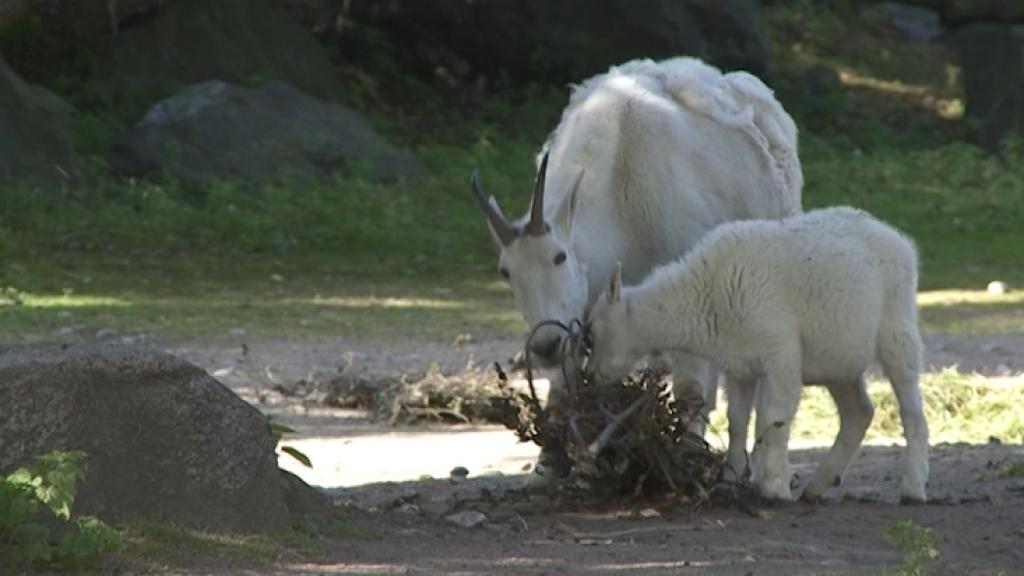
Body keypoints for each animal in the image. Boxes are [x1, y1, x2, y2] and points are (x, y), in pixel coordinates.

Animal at [585, 203, 929, 500]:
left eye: (594, 331)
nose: (590, 376)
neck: (708, 293)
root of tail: (900, 241)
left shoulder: (780, 352)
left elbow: (774, 418)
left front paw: (774, 488)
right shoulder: (739, 365)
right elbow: (737, 421)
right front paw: (730, 477)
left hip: (897, 327)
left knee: (911, 408)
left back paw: (913, 487)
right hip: (839, 357)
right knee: (859, 412)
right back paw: (817, 486)